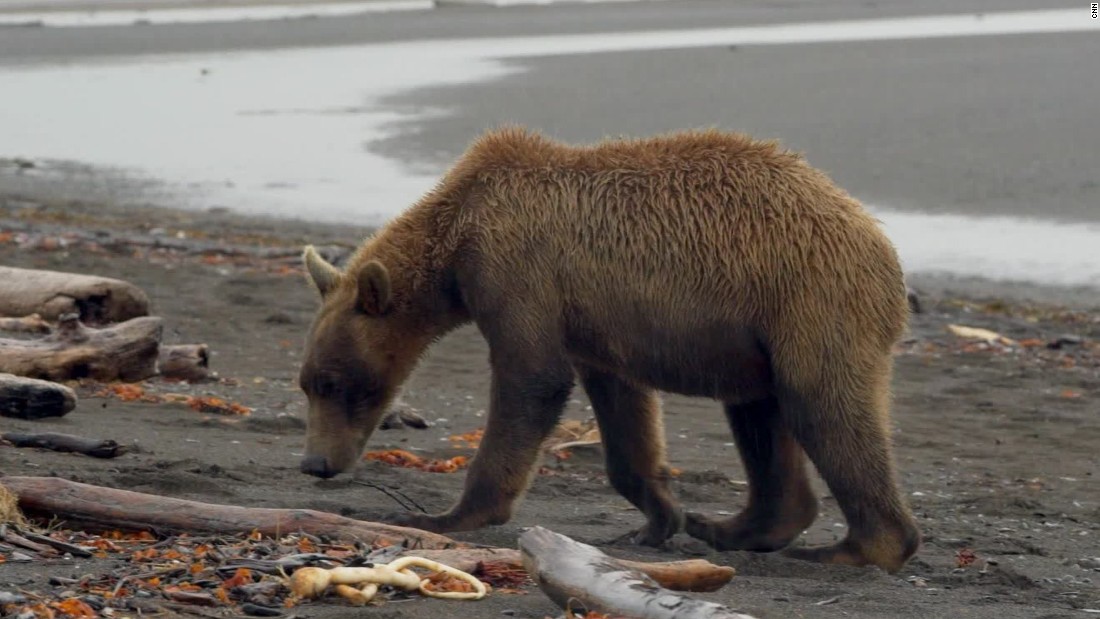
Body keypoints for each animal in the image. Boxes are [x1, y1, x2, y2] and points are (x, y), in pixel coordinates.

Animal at [299, 126, 919, 576]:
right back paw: (731, 527)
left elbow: (533, 381)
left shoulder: (517, 273)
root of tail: (880, 240)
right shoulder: (591, 321)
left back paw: (849, 549)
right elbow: (623, 411)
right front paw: (657, 518)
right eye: (307, 383)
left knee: (825, 407)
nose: (315, 464)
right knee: (759, 413)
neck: (454, 239)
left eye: (335, 383)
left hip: (809, 298)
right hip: (758, 331)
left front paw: (450, 514)